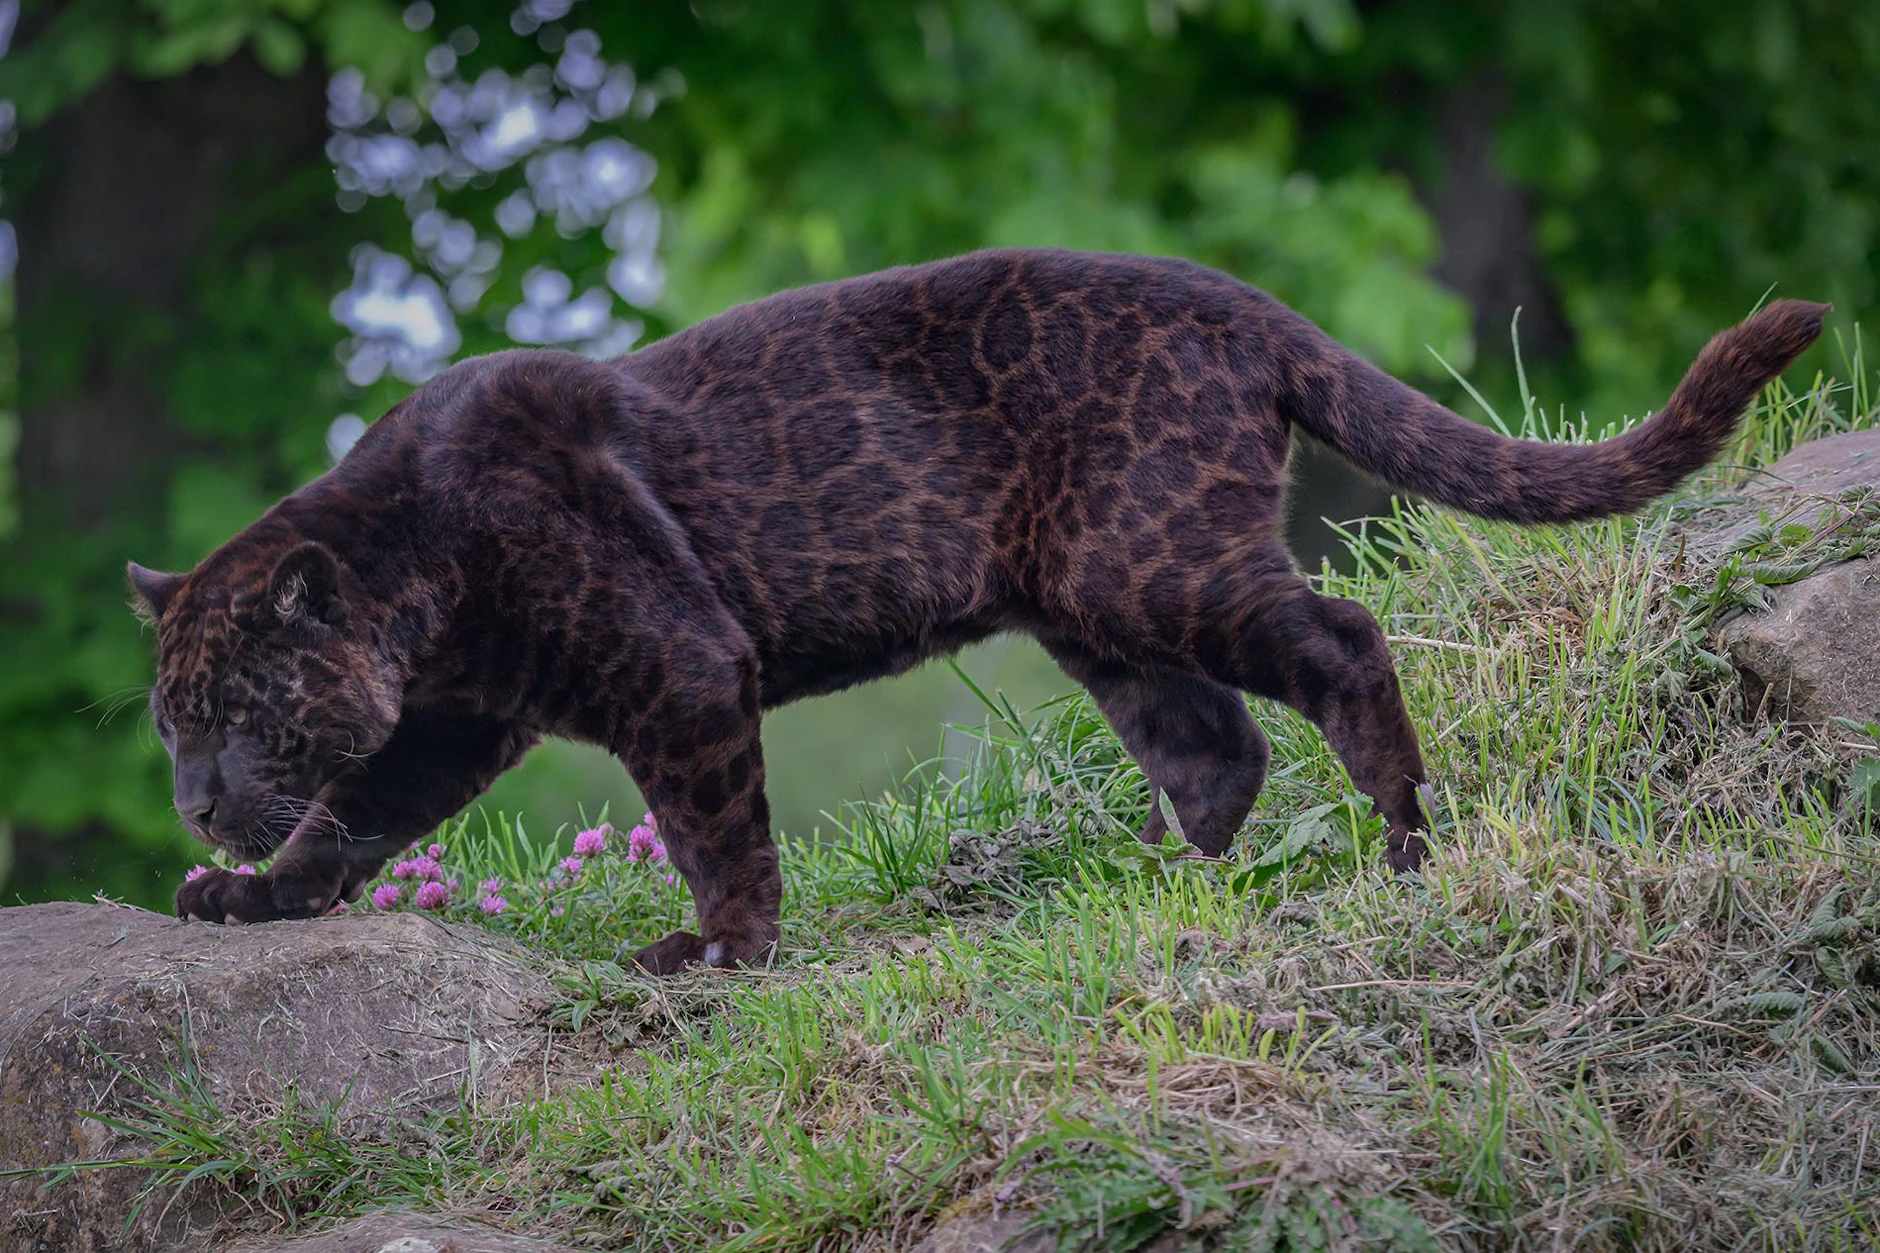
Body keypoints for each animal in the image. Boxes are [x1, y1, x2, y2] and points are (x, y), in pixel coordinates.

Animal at [127, 248, 1827, 972]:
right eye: (169, 724)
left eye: (234, 710)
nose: (196, 802)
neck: (415, 568)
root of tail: (1240, 302)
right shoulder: (455, 721)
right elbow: (348, 819)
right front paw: (247, 897)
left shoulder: (674, 664)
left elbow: (711, 822)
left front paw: (721, 952)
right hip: (1100, 607)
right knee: (1213, 751)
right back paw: (1147, 894)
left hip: (1156, 562)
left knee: (1343, 645)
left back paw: (1407, 844)